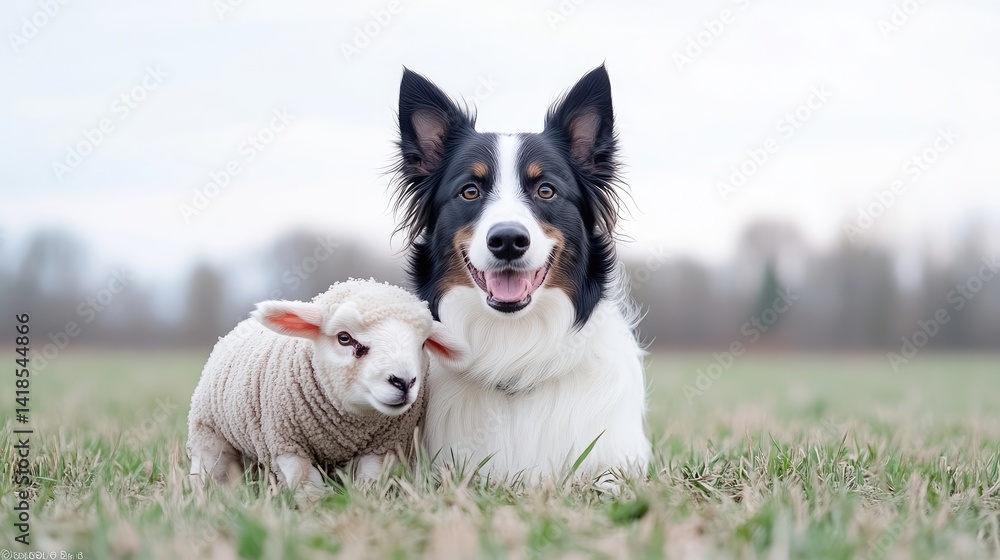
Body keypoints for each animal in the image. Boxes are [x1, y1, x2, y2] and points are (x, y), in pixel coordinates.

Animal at [186, 279, 464, 501]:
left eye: (422, 344)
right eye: (344, 338)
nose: (403, 382)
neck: (348, 423)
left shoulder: (382, 447)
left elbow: (370, 480)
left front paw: (364, 502)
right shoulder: (286, 444)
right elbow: (305, 483)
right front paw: (317, 508)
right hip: (209, 435)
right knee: (212, 473)